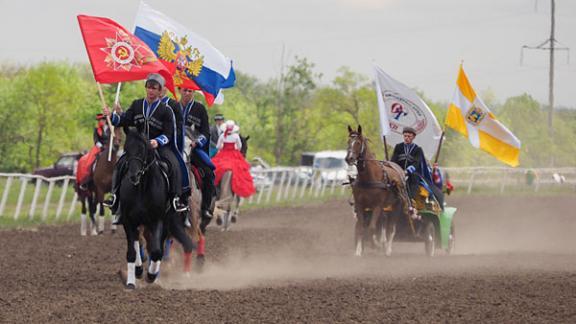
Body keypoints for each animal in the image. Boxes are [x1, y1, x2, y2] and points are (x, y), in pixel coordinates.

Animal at [120, 129, 195, 288]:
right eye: (126, 149)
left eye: (142, 149)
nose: (133, 176)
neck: (142, 188)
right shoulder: (128, 220)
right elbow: (132, 252)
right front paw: (131, 281)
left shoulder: (157, 220)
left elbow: (156, 251)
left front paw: (151, 276)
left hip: (168, 223)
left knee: (180, 245)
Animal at [344, 125, 412, 256]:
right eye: (348, 141)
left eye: (358, 142)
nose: (349, 158)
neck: (369, 178)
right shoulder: (360, 205)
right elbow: (361, 227)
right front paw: (359, 251)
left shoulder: (377, 206)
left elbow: (371, 227)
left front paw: (375, 245)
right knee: (383, 220)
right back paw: (383, 242)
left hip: (396, 206)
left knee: (391, 227)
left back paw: (388, 248)